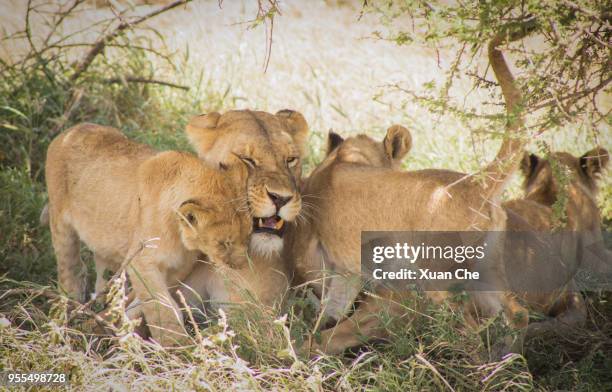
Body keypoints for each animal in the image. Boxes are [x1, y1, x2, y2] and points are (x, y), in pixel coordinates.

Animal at [44, 123, 251, 346]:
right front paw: (177, 347)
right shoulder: (142, 260)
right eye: (224, 243)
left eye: (248, 235)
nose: (241, 266)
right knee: (70, 270)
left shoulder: (178, 267)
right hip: (61, 226)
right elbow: (162, 308)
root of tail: (72, 129)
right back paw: (69, 313)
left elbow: (149, 303)